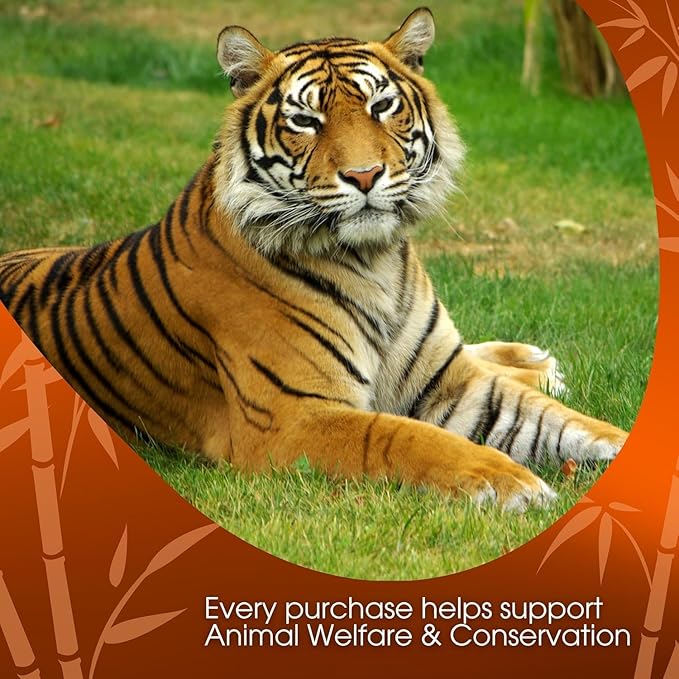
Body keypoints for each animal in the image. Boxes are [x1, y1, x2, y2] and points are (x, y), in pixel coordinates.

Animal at [0, 8, 627, 510]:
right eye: (305, 120)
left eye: (382, 106)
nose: (365, 175)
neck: (376, 261)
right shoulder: (294, 419)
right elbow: (403, 436)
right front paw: (508, 481)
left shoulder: (452, 382)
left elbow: (566, 422)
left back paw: (534, 361)